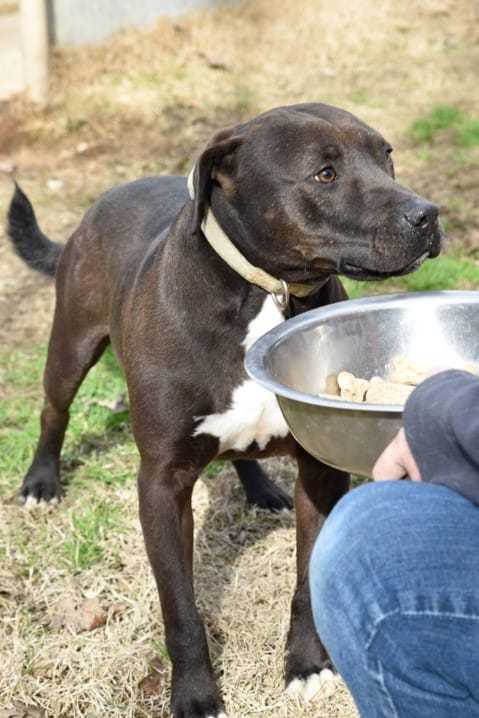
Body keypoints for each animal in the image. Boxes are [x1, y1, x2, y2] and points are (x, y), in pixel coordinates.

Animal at [6, 102, 442, 718]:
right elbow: (180, 608)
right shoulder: (161, 484)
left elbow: (306, 581)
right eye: (324, 174)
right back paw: (42, 482)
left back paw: (260, 488)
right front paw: (194, 695)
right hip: (70, 343)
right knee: (54, 411)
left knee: (240, 450)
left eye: (387, 156)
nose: (427, 215)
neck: (263, 292)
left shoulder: (320, 469)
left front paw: (307, 665)